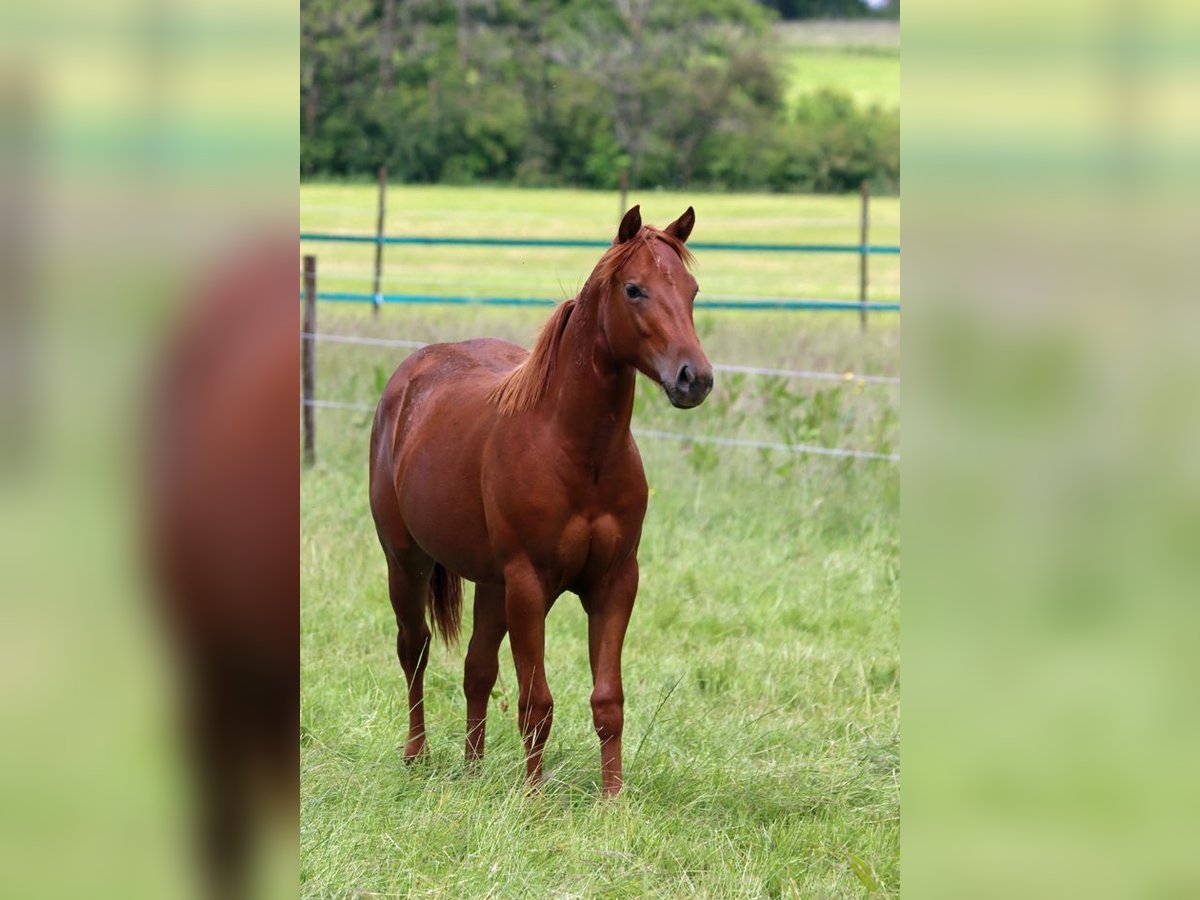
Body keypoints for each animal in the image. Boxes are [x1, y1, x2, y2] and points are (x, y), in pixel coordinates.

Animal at [367, 206, 710, 796]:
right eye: (634, 289)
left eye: (691, 291)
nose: (695, 379)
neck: (576, 450)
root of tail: (408, 379)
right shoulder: (529, 585)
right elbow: (536, 703)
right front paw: (532, 800)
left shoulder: (615, 581)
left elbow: (607, 700)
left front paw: (613, 799)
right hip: (406, 563)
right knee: (415, 649)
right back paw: (418, 755)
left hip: (491, 584)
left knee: (477, 668)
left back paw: (473, 769)